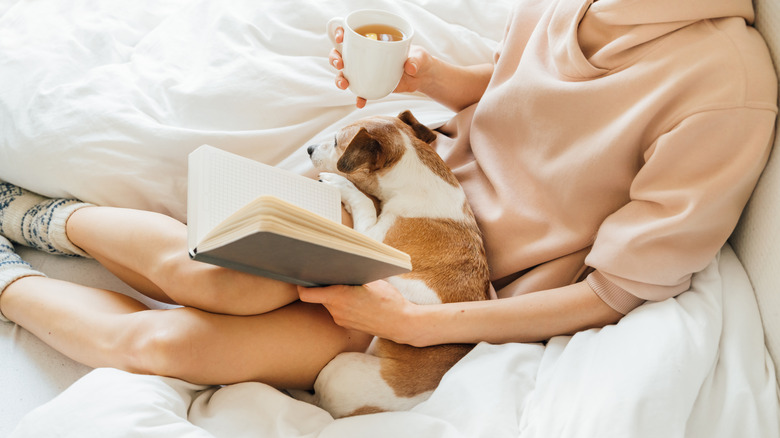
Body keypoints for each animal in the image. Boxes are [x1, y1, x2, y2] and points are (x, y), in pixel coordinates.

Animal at [298, 109, 488, 418]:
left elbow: (363, 201)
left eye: (337, 141)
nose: (309, 149)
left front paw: (341, 185)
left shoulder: (372, 239)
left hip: (337, 370)